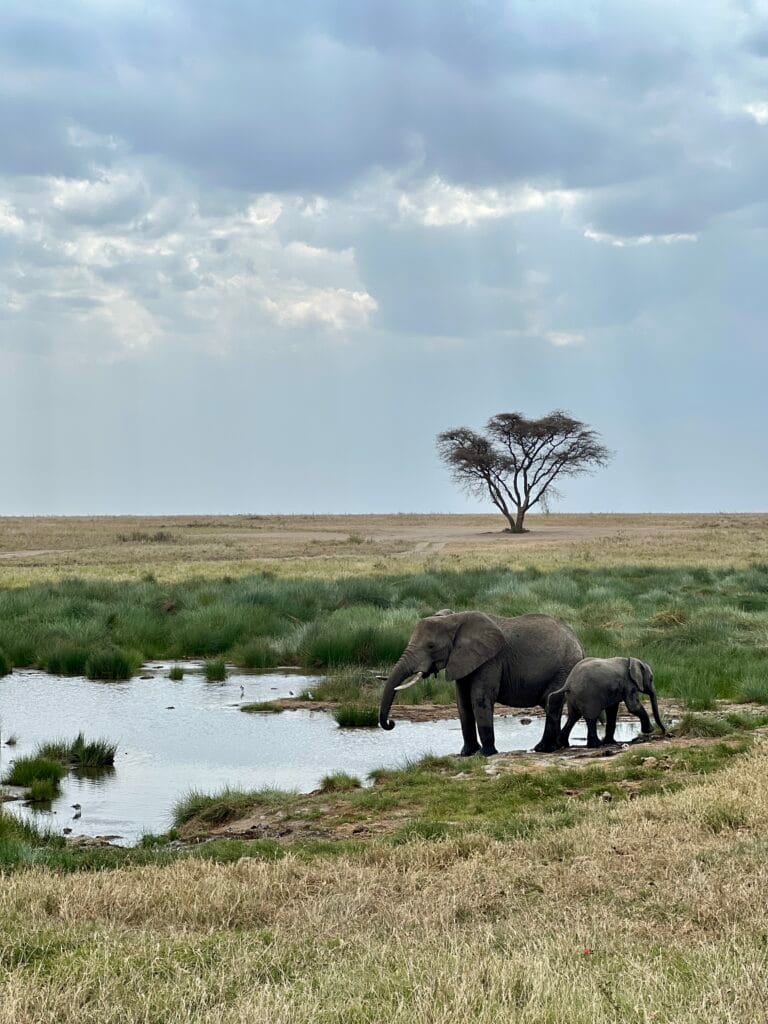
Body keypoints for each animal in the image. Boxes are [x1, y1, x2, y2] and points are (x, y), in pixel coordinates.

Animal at [378, 610, 584, 756]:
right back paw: (555, 746)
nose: (391, 723)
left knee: (551, 703)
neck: (454, 619)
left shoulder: (490, 660)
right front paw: (467, 753)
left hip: (564, 666)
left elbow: (480, 698)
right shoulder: (462, 660)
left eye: (431, 646)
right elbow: (462, 703)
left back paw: (543, 749)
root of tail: (578, 642)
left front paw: (486, 754)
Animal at [533, 656, 667, 752]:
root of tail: (568, 683)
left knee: (573, 717)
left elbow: (612, 710)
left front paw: (611, 742)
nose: (664, 731)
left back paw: (564, 743)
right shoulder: (629, 684)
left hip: (571, 697)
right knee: (590, 718)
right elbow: (633, 707)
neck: (631, 661)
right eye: (651, 679)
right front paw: (649, 730)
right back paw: (596, 745)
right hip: (587, 697)